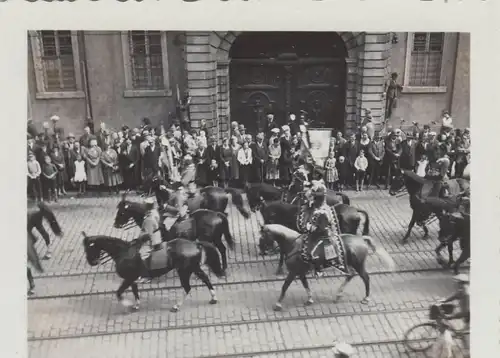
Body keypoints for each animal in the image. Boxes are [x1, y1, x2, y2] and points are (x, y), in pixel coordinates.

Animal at [82, 231, 223, 312]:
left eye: (89, 248)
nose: (91, 262)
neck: (124, 252)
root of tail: (195, 244)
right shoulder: (132, 279)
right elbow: (135, 291)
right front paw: (136, 305)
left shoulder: (129, 278)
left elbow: (119, 293)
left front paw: (127, 304)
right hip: (193, 268)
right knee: (205, 278)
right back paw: (214, 298)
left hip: (184, 272)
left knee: (187, 288)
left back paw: (176, 306)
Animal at [258, 224, 394, 310]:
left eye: (262, 236)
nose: (261, 250)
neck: (293, 244)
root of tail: (361, 239)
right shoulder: (300, 272)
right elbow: (305, 285)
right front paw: (309, 300)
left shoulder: (293, 272)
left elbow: (284, 287)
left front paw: (278, 305)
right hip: (349, 265)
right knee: (350, 275)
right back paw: (338, 295)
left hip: (358, 265)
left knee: (365, 278)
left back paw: (366, 298)